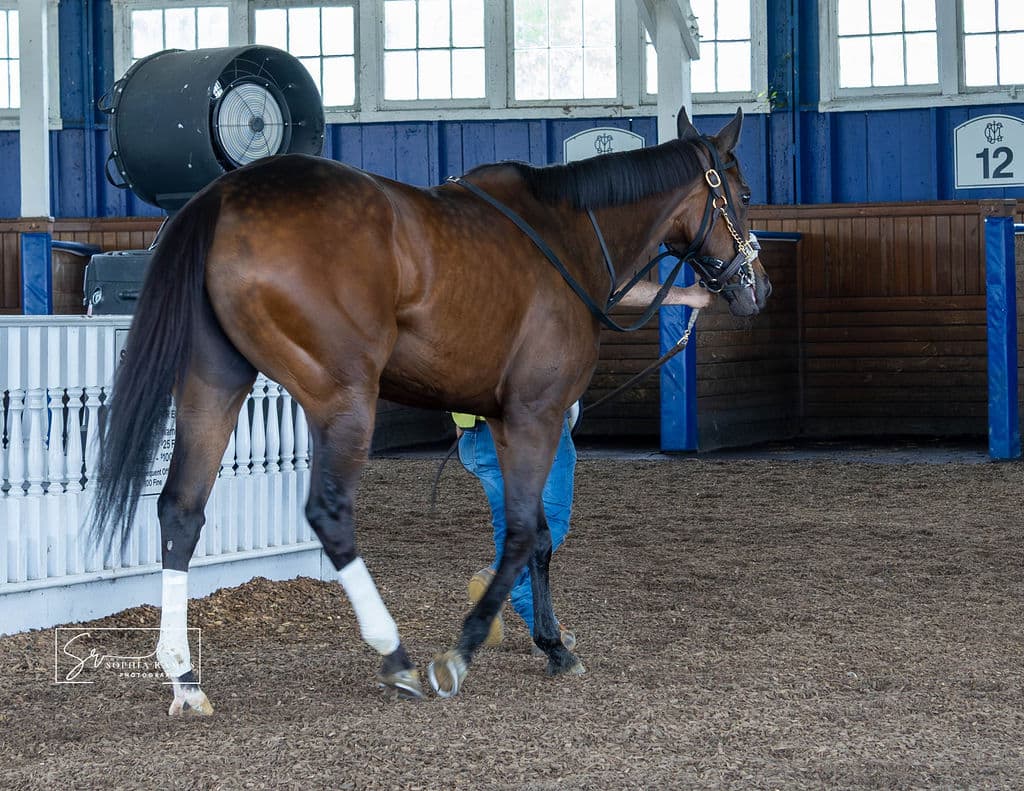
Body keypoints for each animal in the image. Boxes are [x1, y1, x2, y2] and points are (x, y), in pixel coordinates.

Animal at [89, 106, 771, 714]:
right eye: (741, 191)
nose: (756, 286)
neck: (565, 238)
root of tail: (225, 196)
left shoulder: (505, 419)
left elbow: (539, 534)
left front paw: (551, 644)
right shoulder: (536, 413)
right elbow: (521, 533)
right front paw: (464, 652)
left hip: (214, 383)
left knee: (181, 511)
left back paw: (185, 678)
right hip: (342, 398)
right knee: (329, 515)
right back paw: (395, 655)